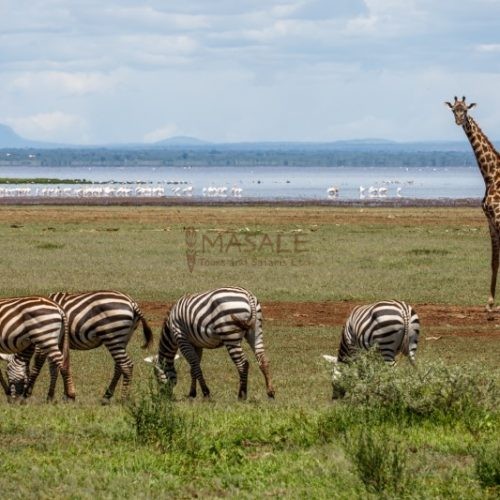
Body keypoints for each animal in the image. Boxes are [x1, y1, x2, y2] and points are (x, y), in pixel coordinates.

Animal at [4, 292, 152, 404]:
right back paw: (107, 396)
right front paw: (54, 396)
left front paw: (28, 393)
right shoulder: (56, 343)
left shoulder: (44, 342)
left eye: (6, 372)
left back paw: (123, 399)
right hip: (122, 339)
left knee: (126, 365)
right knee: (119, 366)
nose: (10, 397)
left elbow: (37, 367)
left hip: (113, 336)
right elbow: (55, 369)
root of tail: (131, 302)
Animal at [146, 288, 276, 400]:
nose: (165, 397)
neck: (170, 331)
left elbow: (195, 365)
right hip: (255, 330)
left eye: (157, 376)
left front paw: (205, 393)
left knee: (242, 363)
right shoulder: (196, 344)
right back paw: (270, 393)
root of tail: (248, 295)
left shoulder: (182, 339)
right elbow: (194, 367)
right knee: (263, 359)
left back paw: (241, 395)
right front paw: (192, 393)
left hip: (230, 336)